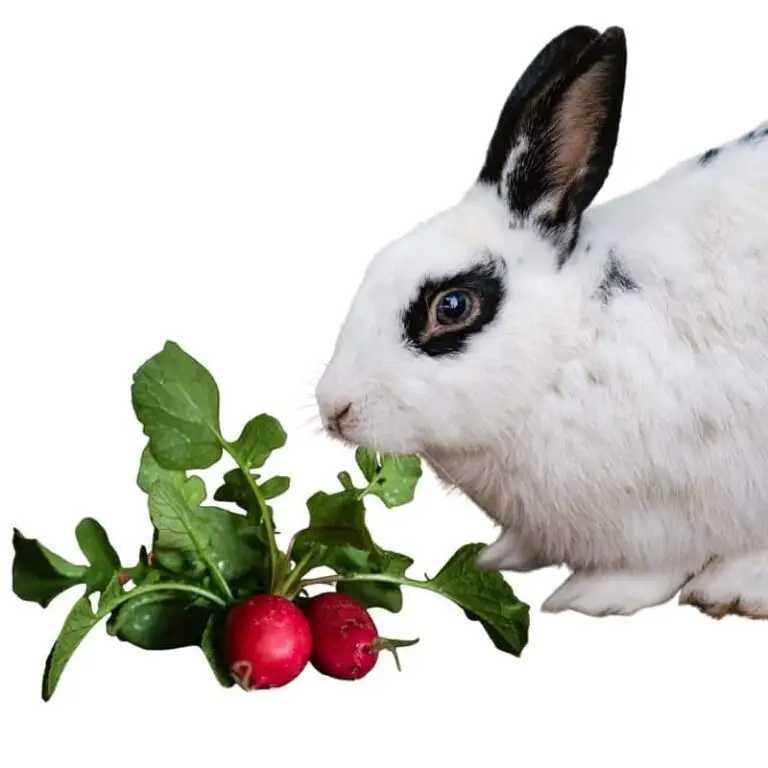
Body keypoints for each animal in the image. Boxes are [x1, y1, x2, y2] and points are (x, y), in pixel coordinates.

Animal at [314, 24, 768, 620]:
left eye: (453, 307)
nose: (334, 409)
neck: (571, 345)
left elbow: (655, 567)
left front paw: (592, 596)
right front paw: (500, 556)